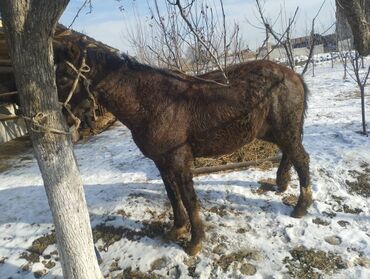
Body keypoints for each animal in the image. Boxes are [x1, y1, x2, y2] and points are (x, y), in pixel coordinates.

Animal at [54, 39, 312, 256]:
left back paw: (301, 207)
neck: (154, 103)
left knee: (301, 159)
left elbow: (188, 199)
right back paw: (281, 183)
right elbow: (172, 194)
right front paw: (177, 229)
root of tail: (292, 74)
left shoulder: (179, 160)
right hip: (272, 132)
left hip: (283, 131)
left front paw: (195, 242)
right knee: (290, 154)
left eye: (64, 77)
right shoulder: (161, 162)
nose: (62, 119)